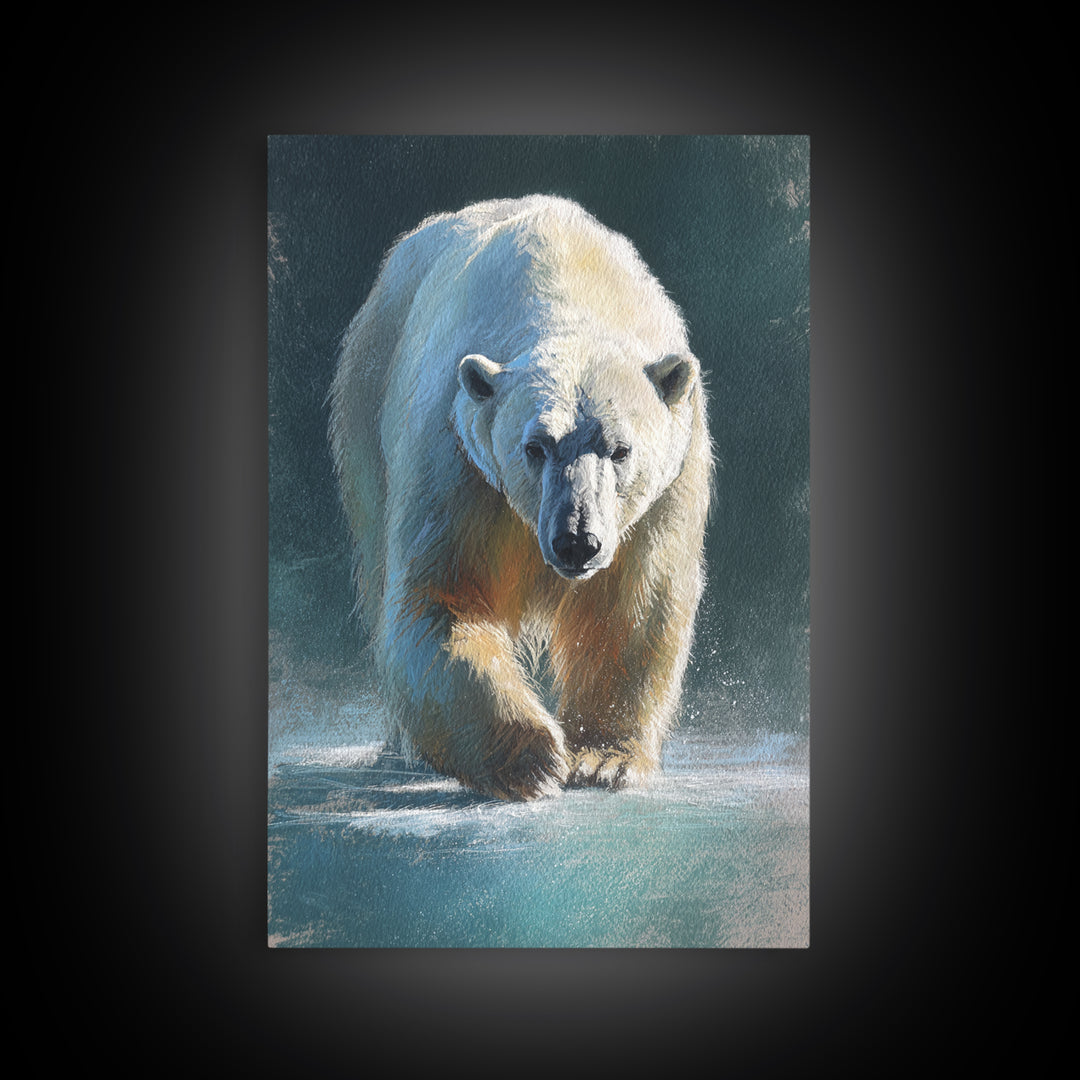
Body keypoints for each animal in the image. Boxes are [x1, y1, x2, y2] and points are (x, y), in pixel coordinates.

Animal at [329, 195, 713, 801]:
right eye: (535, 446)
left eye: (620, 449)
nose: (577, 540)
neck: (570, 287)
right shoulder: (458, 459)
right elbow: (442, 603)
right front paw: (534, 758)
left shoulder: (670, 481)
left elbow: (635, 607)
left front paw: (604, 760)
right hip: (366, 394)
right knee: (374, 558)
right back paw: (402, 749)